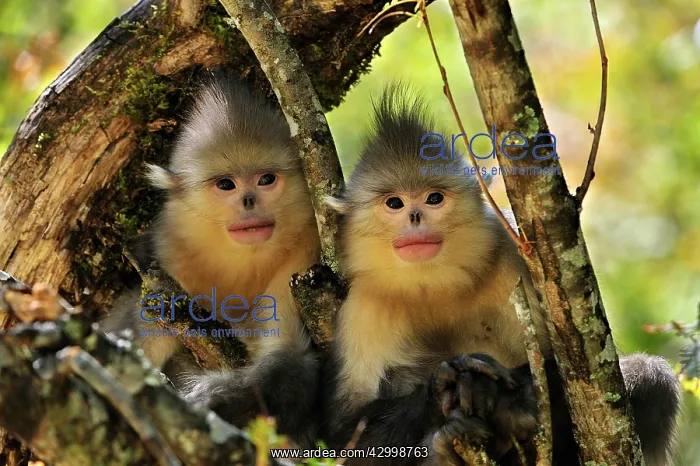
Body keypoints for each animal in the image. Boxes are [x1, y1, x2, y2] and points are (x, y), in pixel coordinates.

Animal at [102, 73, 323, 447]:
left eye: (266, 179)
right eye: (226, 184)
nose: (249, 201)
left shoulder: (302, 257)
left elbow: (292, 357)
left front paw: (214, 399)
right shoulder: (166, 257)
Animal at [322, 85, 681, 465]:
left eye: (434, 198)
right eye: (395, 203)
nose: (415, 216)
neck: (436, 287)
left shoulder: (515, 252)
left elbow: (584, 363)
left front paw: (497, 393)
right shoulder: (362, 309)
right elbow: (345, 440)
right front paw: (441, 385)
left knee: (651, 375)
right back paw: (444, 449)